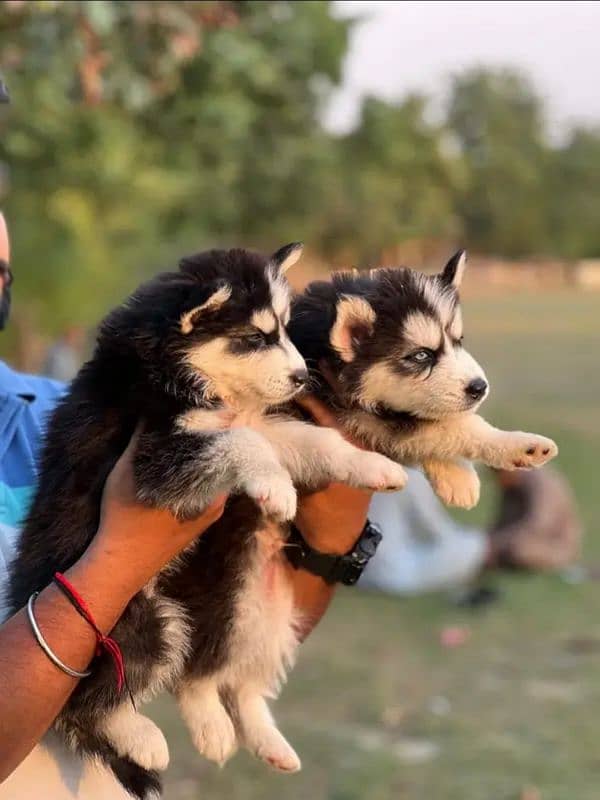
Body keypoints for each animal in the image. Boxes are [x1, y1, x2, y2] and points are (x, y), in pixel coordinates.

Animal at [7, 244, 406, 800]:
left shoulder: (261, 423)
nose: (301, 377)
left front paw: (372, 466)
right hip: (138, 621)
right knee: (87, 702)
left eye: (284, 330)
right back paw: (142, 738)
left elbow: (306, 440)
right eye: (254, 338)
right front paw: (277, 487)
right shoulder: (157, 454)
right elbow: (242, 443)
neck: (174, 370)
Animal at [286, 247, 556, 506]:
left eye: (459, 340)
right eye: (421, 355)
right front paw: (521, 445)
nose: (480, 387)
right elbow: (455, 426)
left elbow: (436, 426)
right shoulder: (360, 413)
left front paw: (457, 478)